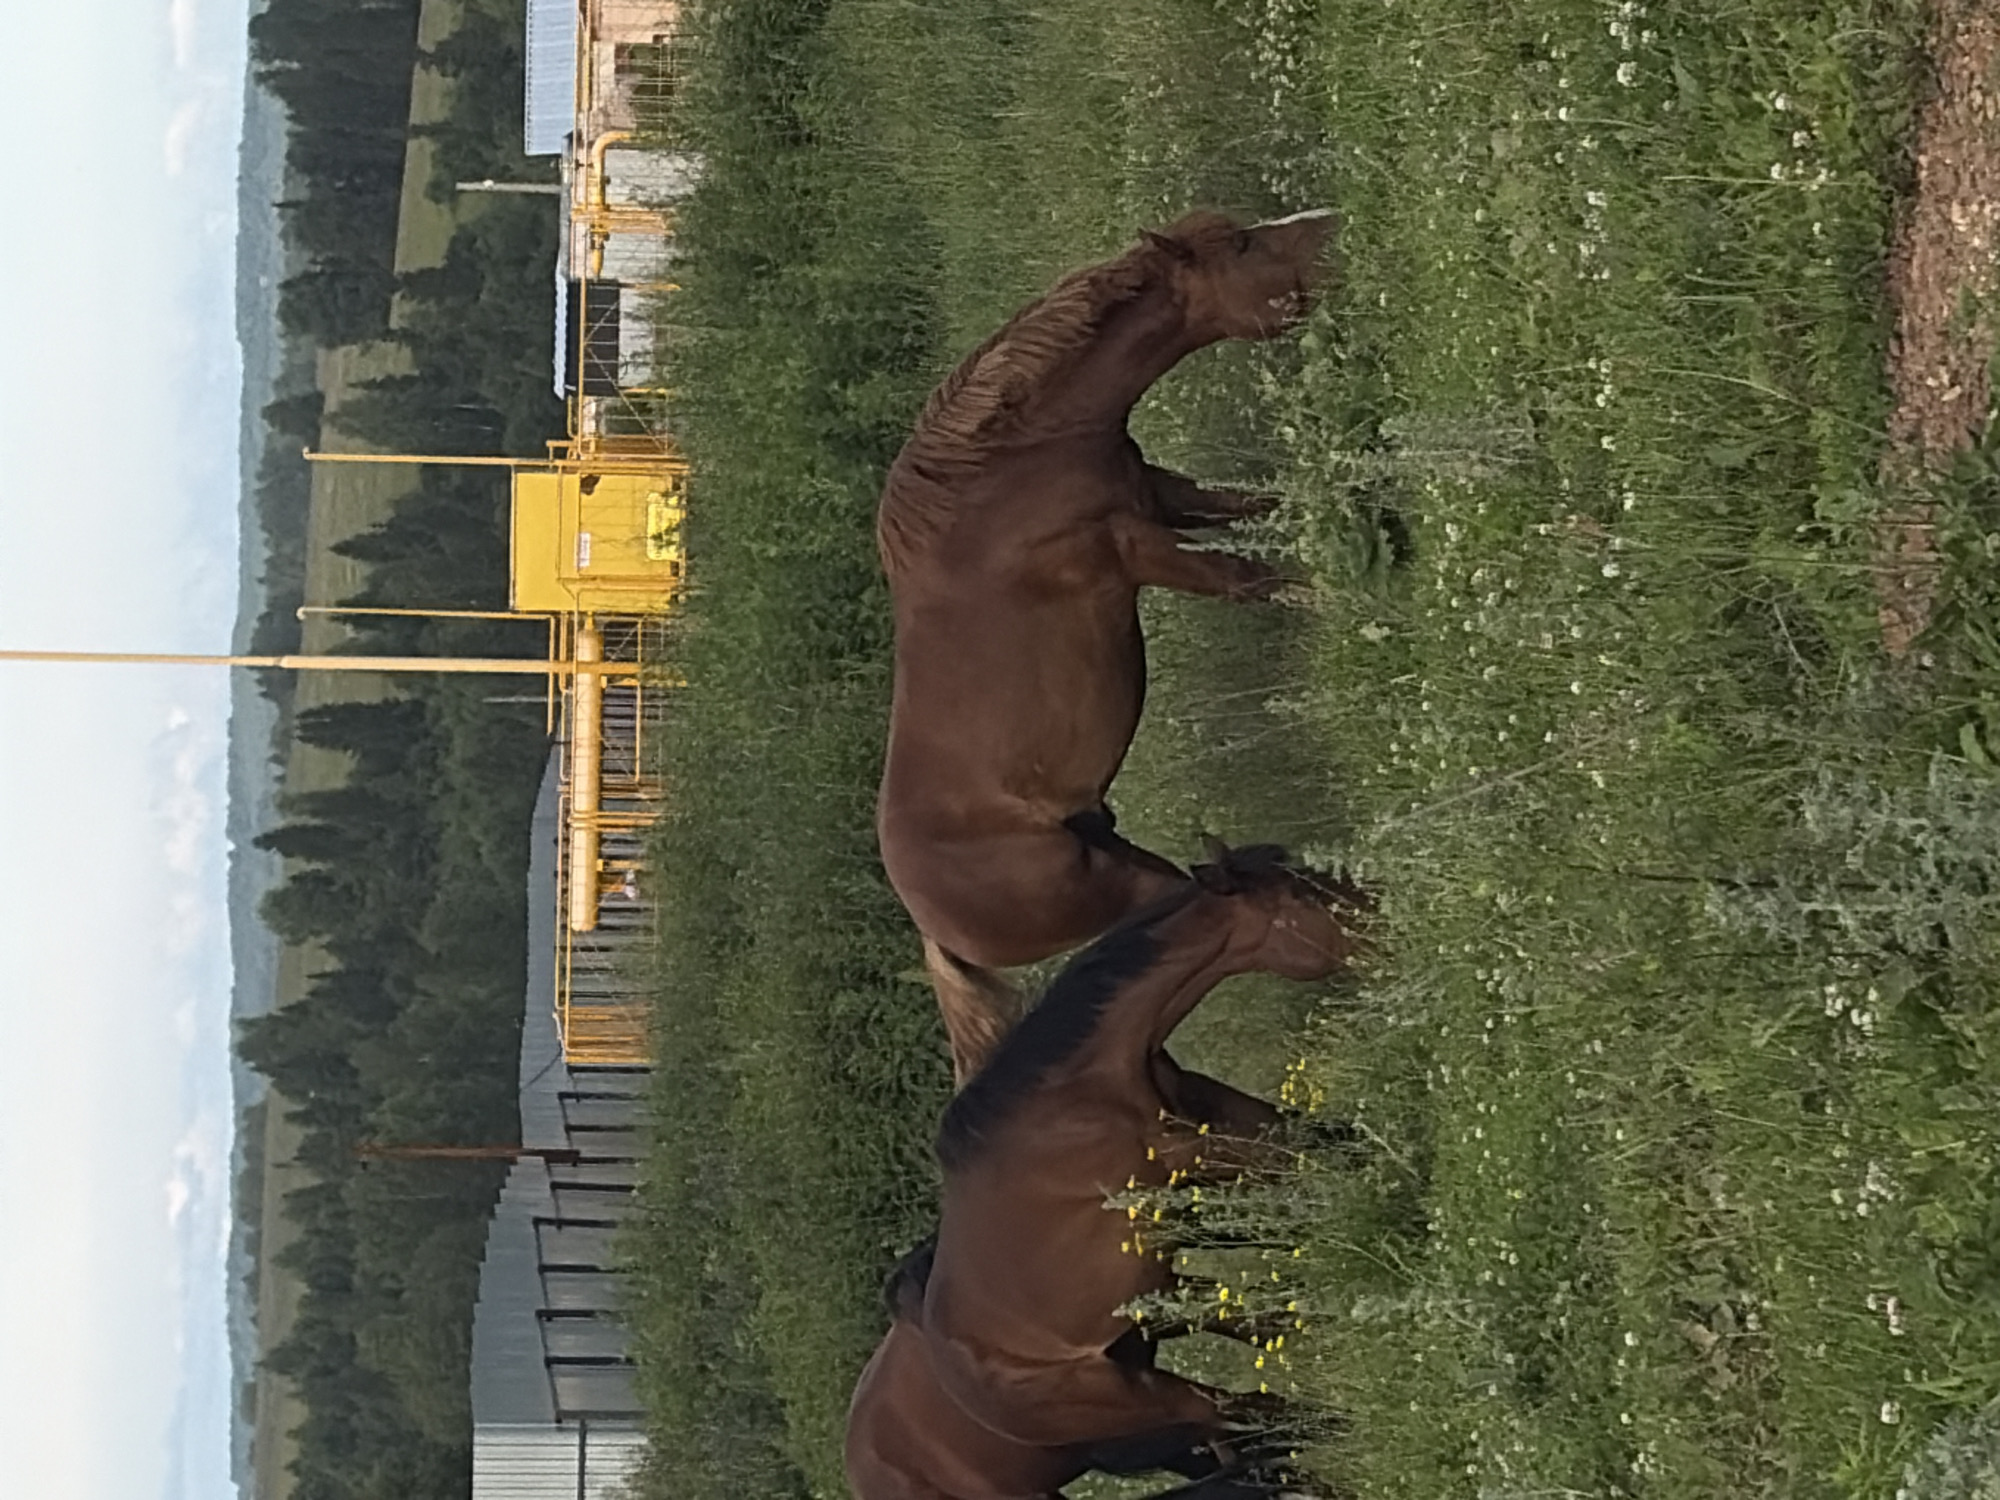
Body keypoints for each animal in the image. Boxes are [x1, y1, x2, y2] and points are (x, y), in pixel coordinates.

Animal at [874, 209, 1341, 1081]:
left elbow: (1261, 505)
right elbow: (1248, 575)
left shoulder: (1163, 492)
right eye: (1244, 246)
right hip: (1131, 884)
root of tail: (934, 927)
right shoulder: (1137, 548)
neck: (1012, 466)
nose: (1328, 228)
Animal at [919, 846, 1368, 1457]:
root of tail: (972, 1396)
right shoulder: (1197, 1152)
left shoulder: (1225, 1115)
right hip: (1149, 1394)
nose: (1379, 911)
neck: (1081, 1086)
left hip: (1162, 1314)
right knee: (1244, 1412)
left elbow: (1322, 1145)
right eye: (1301, 895)